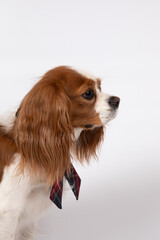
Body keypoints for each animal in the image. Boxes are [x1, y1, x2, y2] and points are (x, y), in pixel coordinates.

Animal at [0, 65, 120, 240]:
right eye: (88, 93)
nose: (117, 100)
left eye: (100, 86)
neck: (29, 149)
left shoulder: (29, 215)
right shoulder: (8, 212)